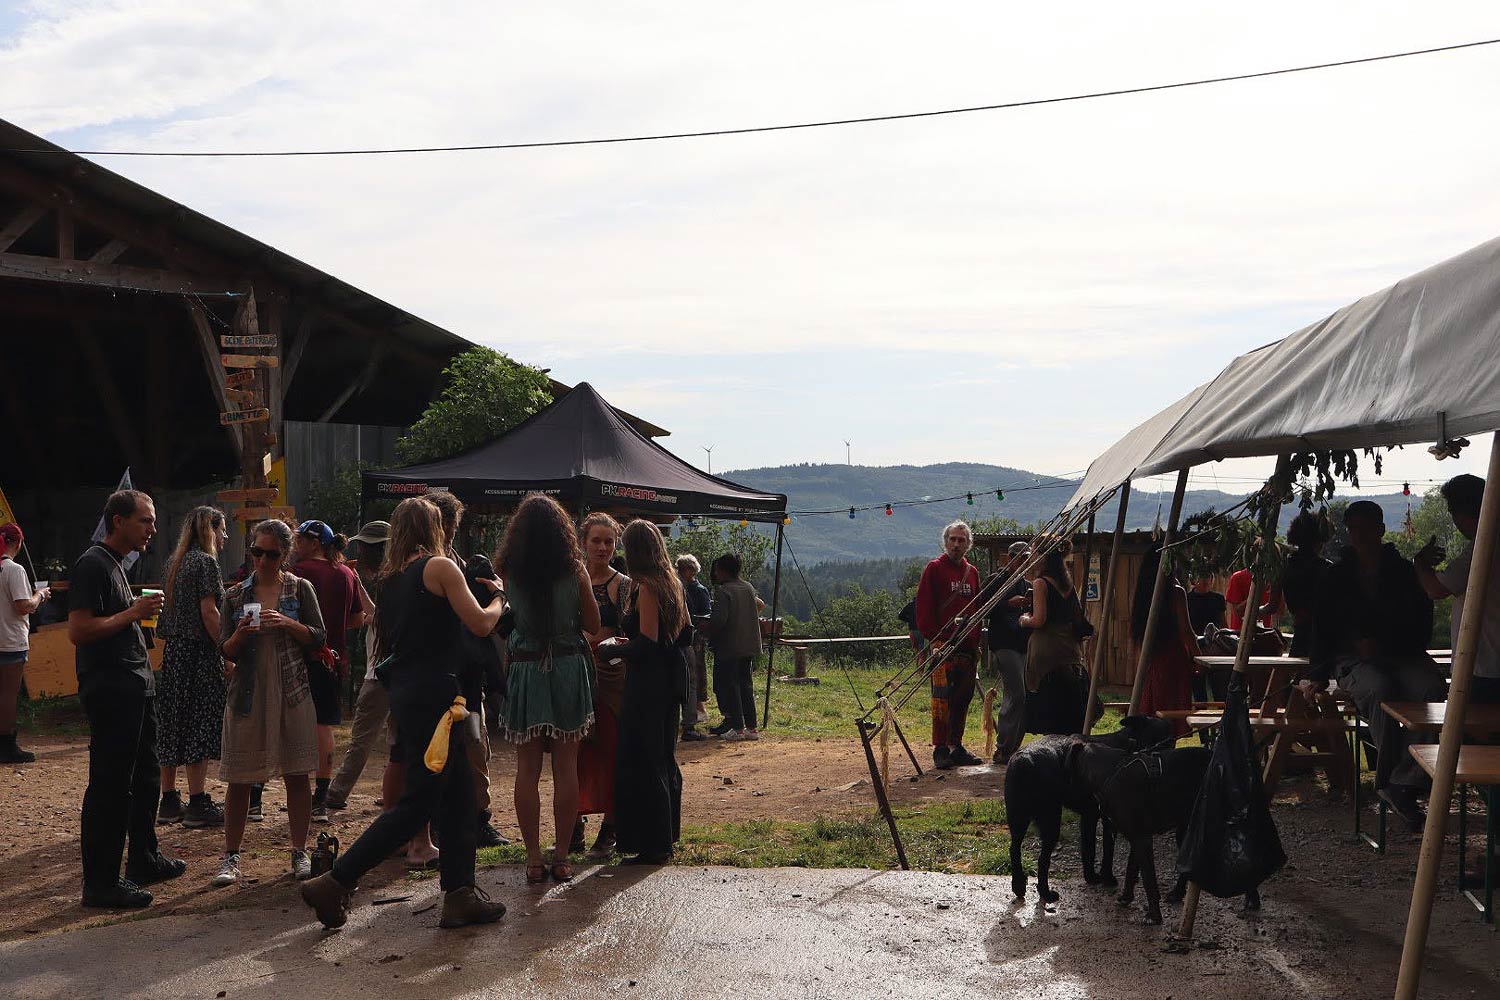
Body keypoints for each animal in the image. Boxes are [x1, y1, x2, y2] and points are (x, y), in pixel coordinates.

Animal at [1005, 715, 1174, 904]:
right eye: (1161, 739)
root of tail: (1024, 760)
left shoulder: (1089, 816)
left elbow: (1089, 848)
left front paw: (1091, 877)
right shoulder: (1105, 820)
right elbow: (1107, 849)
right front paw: (1106, 878)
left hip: (1018, 819)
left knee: (1014, 849)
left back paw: (1018, 886)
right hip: (1050, 821)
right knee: (1042, 859)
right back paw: (1046, 893)